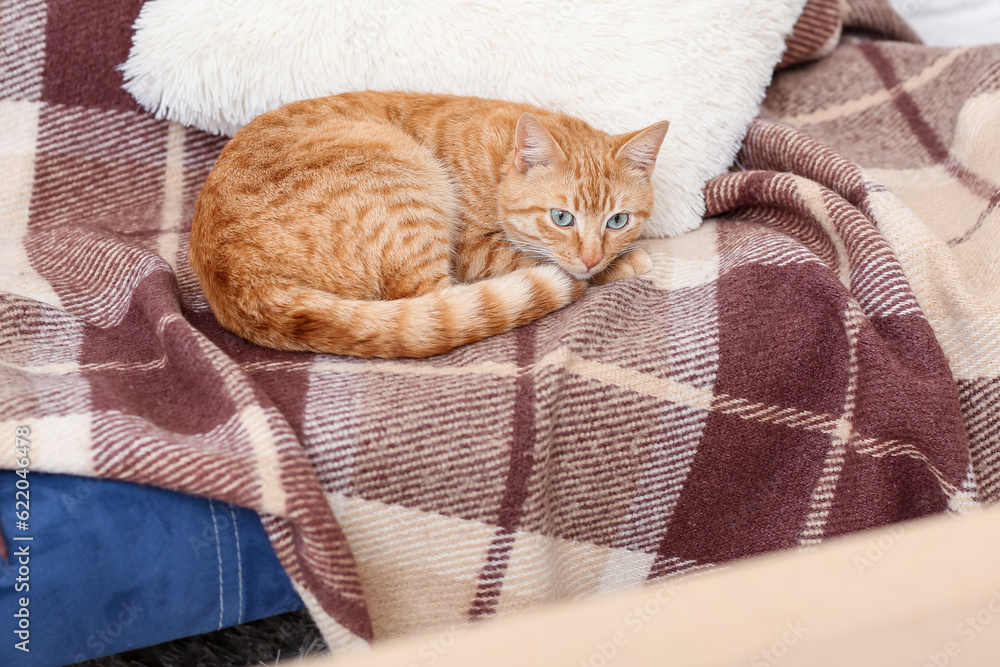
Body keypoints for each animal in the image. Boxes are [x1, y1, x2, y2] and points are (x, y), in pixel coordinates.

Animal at [189, 92, 672, 360]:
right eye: (561, 218)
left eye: (617, 220)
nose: (591, 258)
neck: (497, 163)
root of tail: (243, 283)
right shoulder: (473, 251)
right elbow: (522, 255)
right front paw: (620, 266)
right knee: (437, 302)